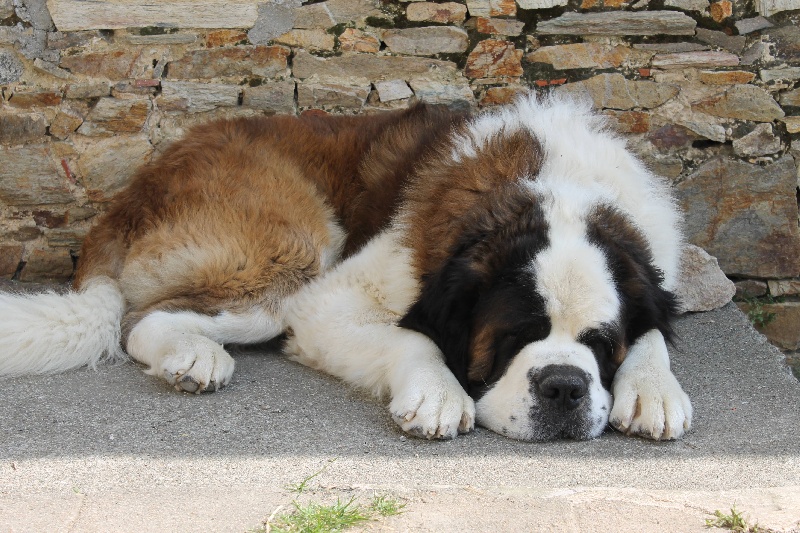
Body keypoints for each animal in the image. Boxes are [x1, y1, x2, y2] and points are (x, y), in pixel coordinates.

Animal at [0, 94, 688, 440]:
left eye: (601, 345)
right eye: (514, 337)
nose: (565, 387)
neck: (550, 187)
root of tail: (140, 183)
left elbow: (657, 328)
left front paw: (654, 389)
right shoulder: (329, 303)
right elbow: (415, 339)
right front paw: (437, 393)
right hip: (295, 249)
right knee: (141, 317)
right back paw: (193, 357)